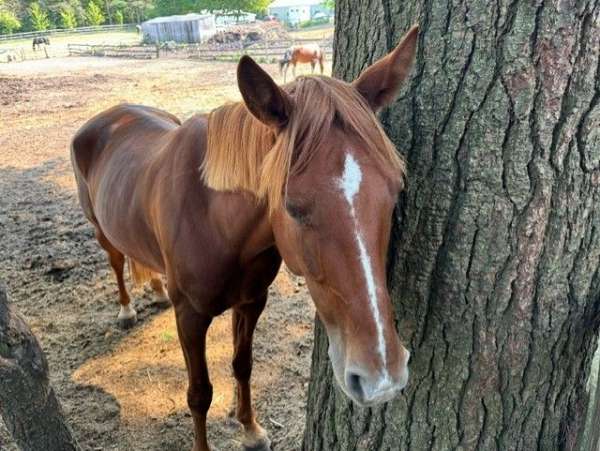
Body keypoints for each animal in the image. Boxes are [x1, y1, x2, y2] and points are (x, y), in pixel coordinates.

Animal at [70, 23, 418, 451]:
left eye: (395, 189)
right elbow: (199, 393)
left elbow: (242, 365)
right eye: (293, 206)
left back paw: (156, 289)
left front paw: (250, 429)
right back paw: (125, 308)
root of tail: (108, 117)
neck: (216, 222)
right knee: (117, 261)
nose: (381, 377)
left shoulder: (252, 301)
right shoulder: (190, 316)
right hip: (101, 229)